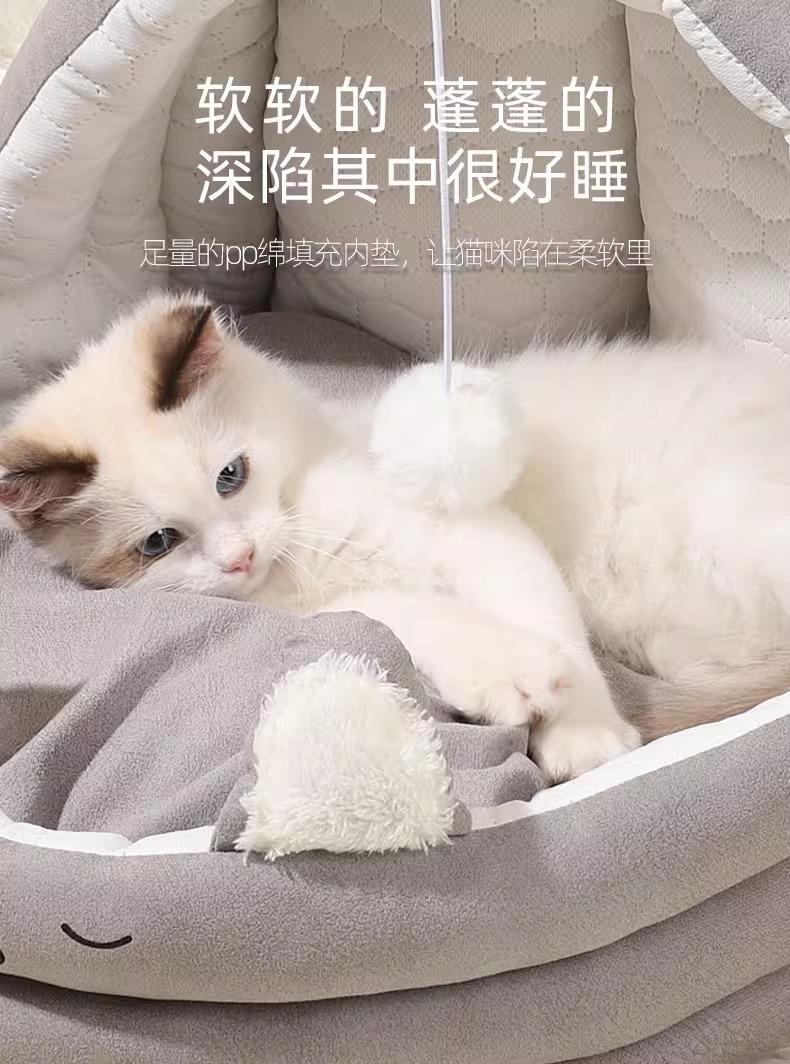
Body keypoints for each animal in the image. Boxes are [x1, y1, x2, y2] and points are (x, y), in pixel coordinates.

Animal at [1, 292, 788, 780]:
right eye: (158, 543)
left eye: (231, 475)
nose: (239, 557)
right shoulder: (344, 609)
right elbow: (435, 623)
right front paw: (513, 680)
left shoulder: (478, 534)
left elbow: (555, 632)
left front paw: (583, 736)